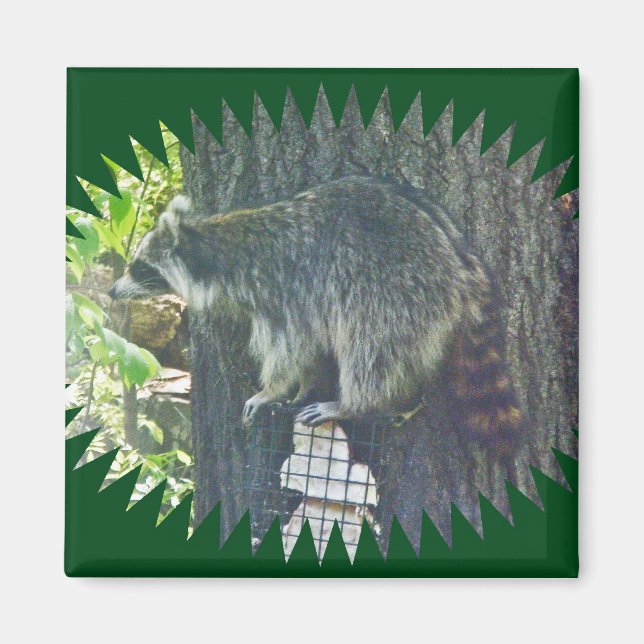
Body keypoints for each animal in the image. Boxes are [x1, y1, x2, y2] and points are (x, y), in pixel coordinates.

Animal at [109, 177, 525, 440]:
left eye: (139, 268)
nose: (113, 291)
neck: (214, 246)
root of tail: (461, 263)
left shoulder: (284, 289)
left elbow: (291, 346)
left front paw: (273, 389)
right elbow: (310, 348)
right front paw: (304, 385)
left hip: (398, 288)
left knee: (373, 350)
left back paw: (356, 403)